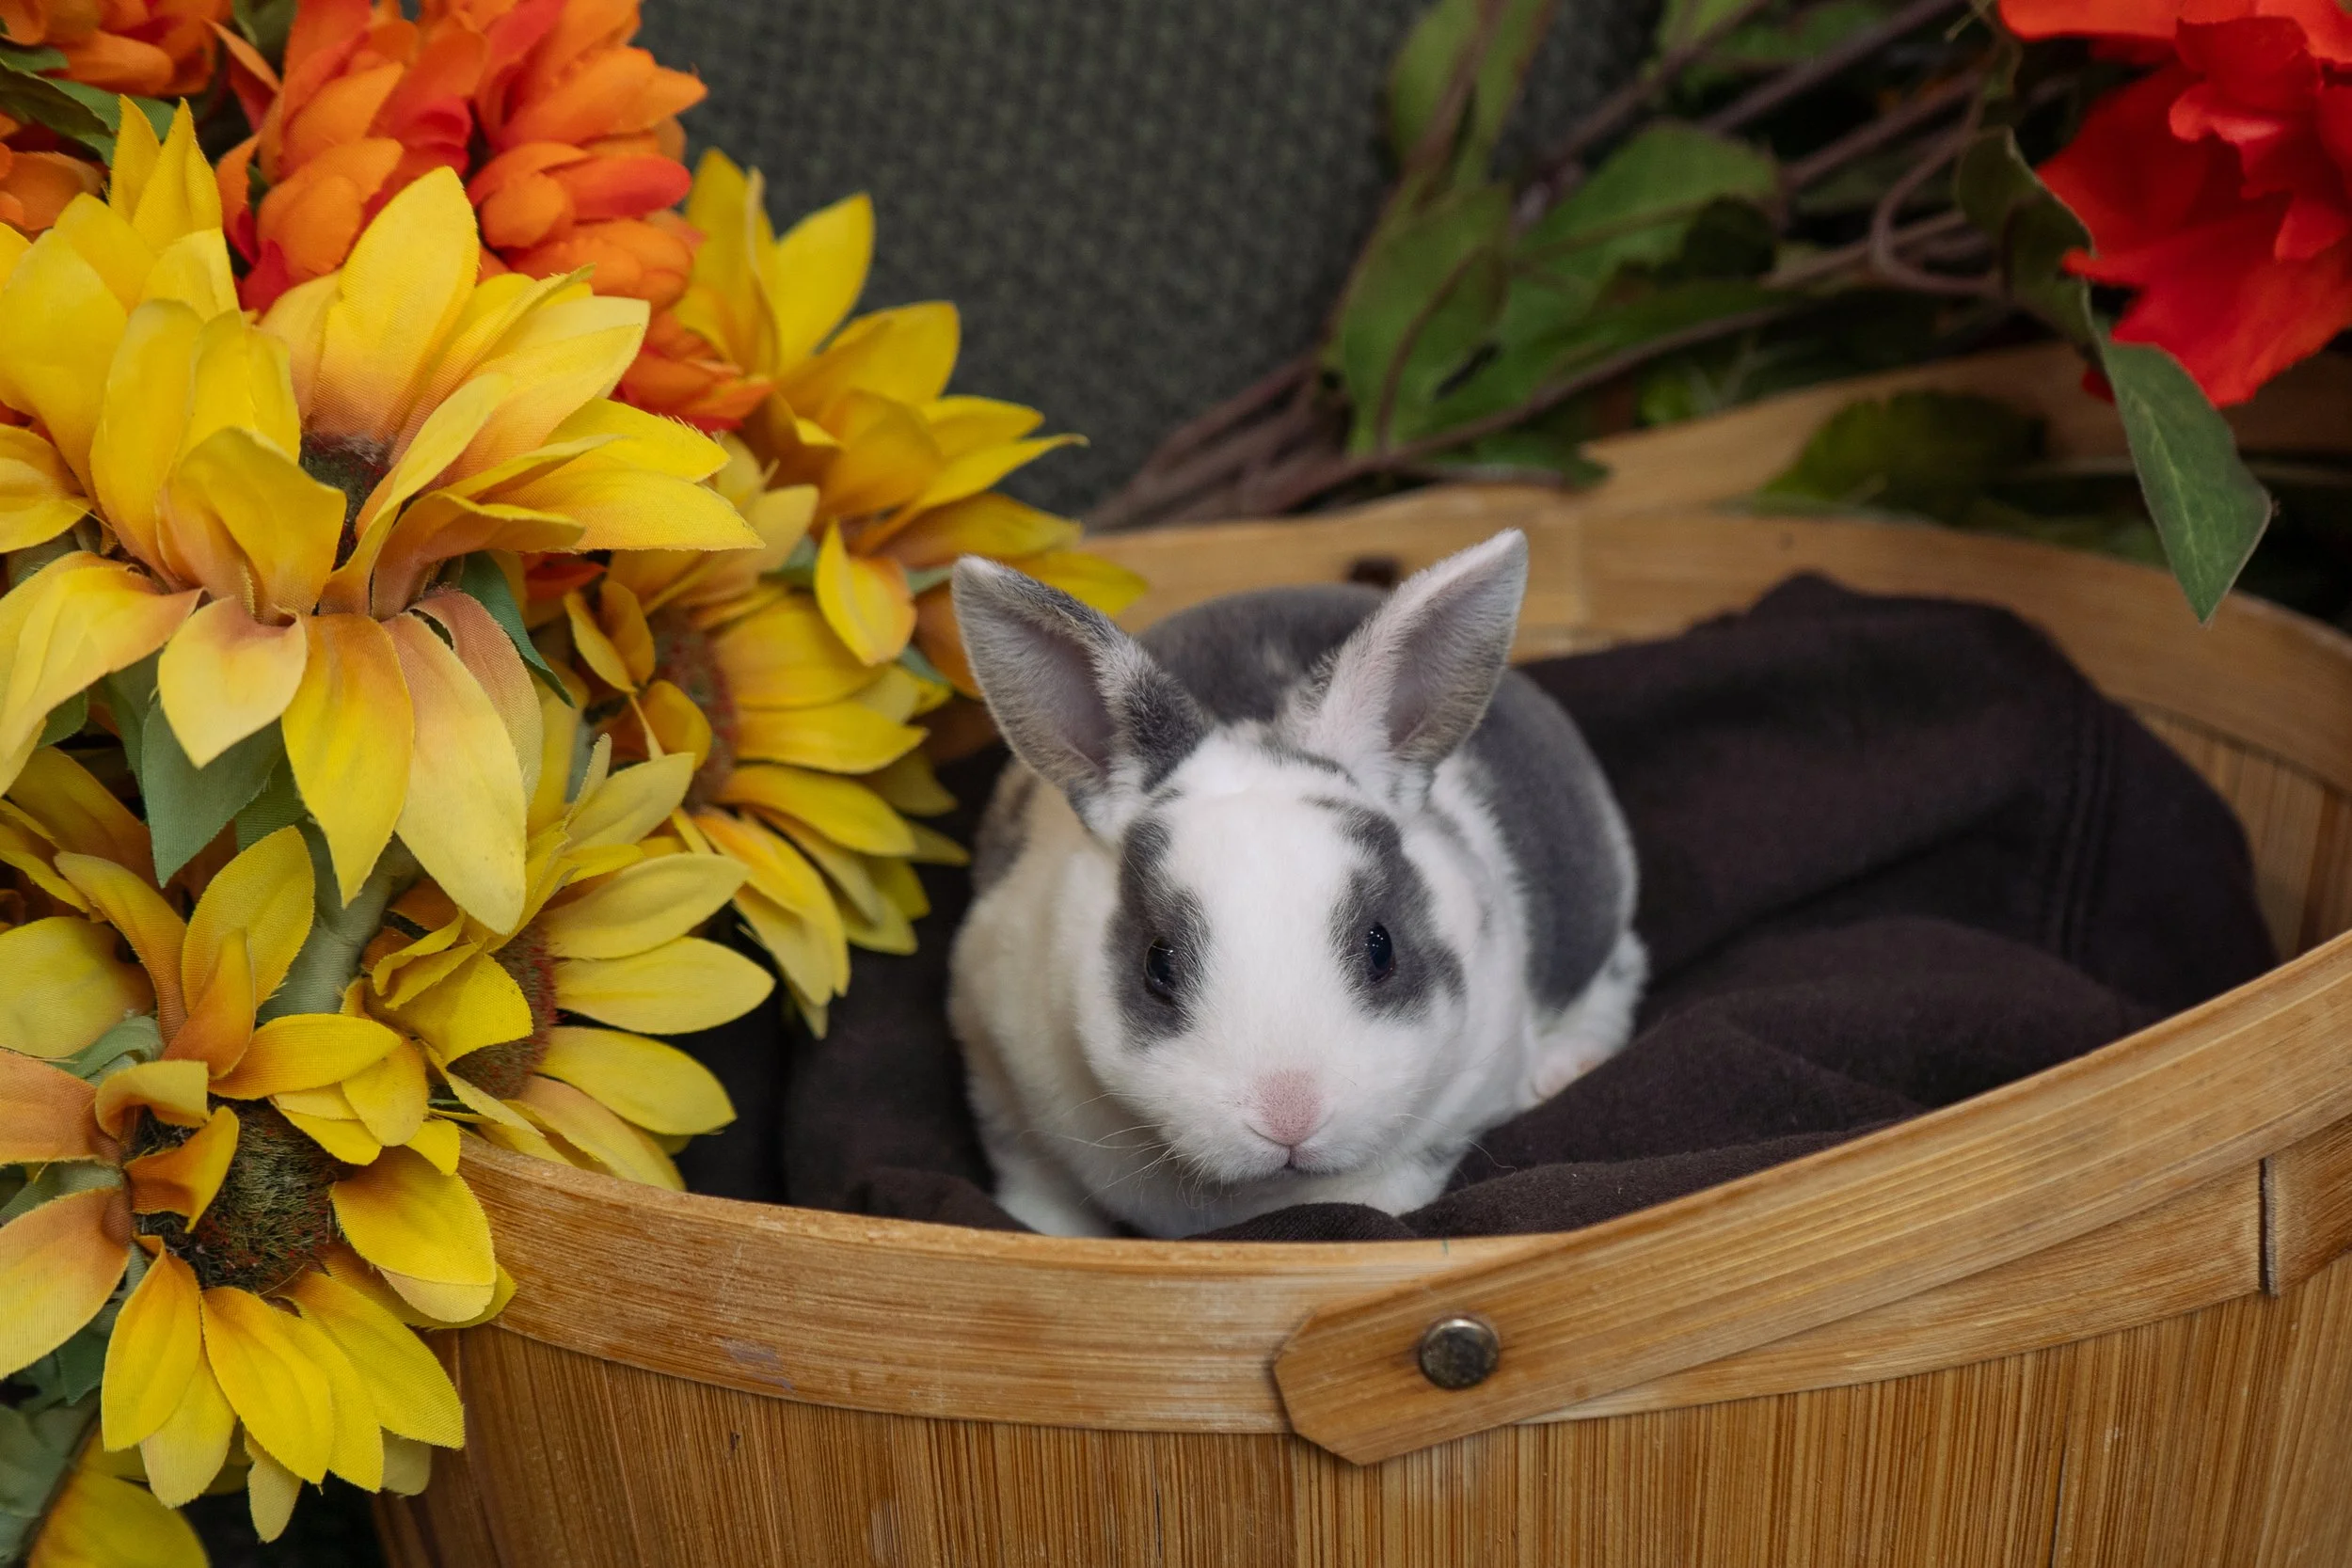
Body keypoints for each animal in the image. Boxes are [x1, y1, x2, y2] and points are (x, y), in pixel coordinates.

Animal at [945, 530, 1645, 1238]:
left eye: (1381, 947)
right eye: (1157, 964)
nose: (1288, 1117)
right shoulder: (1001, 1084)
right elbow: (1043, 1201)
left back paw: (1564, 1067)